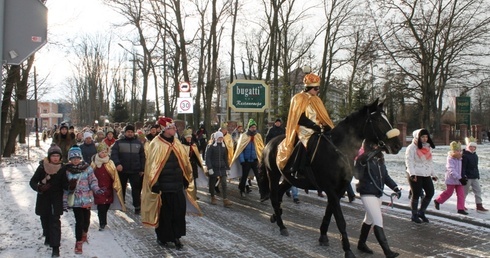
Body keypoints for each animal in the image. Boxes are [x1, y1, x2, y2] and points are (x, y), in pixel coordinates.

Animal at [262, 100, 400, 256]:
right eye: (377, 120)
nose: (397, 145)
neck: (337, 149)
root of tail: (270, 143)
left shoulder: (338, 190)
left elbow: (329, 213)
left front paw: (323, 236)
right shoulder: (331, 189)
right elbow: (340, 219)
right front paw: (347, 250)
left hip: (288, 179)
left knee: (279, 194)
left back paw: (275, 216)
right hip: (273, 175)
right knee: (274, 197)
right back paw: (281, 225)